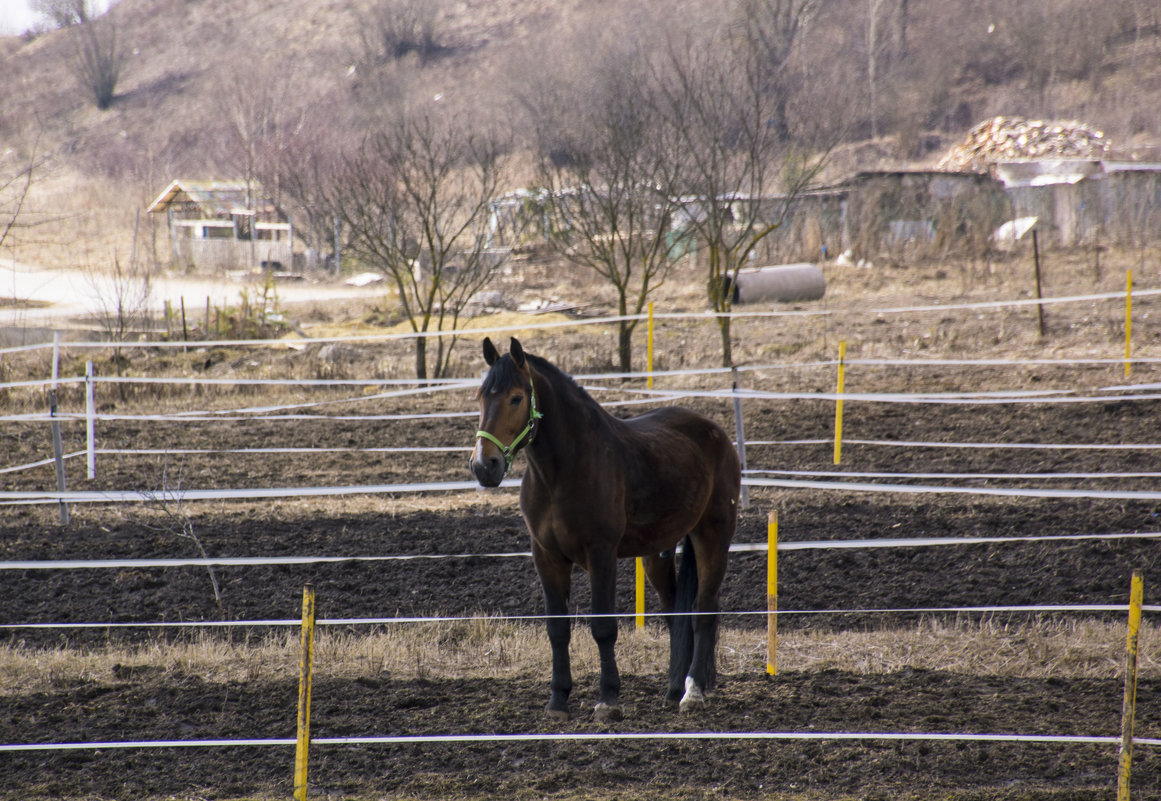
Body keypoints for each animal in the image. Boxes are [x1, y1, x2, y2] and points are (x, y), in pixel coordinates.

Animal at [466, 334, 738, 719]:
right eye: (480, 397)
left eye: (516, 397)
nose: (484, 466)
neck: (562, 473)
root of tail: (715, 433)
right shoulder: (546, 556)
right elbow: (557, 629)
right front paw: (558, 700)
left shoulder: (602, 554)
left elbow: (603, 626)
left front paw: (608, 698)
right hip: (657, 553)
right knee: (676, 613)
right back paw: (673, 689)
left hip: (712, 536)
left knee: (704, 610)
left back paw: (693, 691)